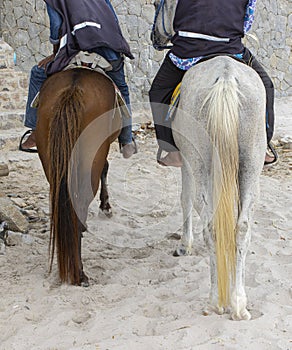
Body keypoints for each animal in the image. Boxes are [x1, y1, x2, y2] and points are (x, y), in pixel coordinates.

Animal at [35, 68, 121, 288]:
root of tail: (72, 90)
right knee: (80, 203)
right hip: (91, 157)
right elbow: (105, 168)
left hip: (51, 159)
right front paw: (106, 207)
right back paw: (79, 274)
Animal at [153, 0, 266, 320]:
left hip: (201, 161)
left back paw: (216, 300)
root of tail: (226, 76)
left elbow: (186, 199)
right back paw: (238, 303)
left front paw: (184, 245)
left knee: (212, 225)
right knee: (241, 227)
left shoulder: (187, 163)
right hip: (251, 164)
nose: (155, 37)